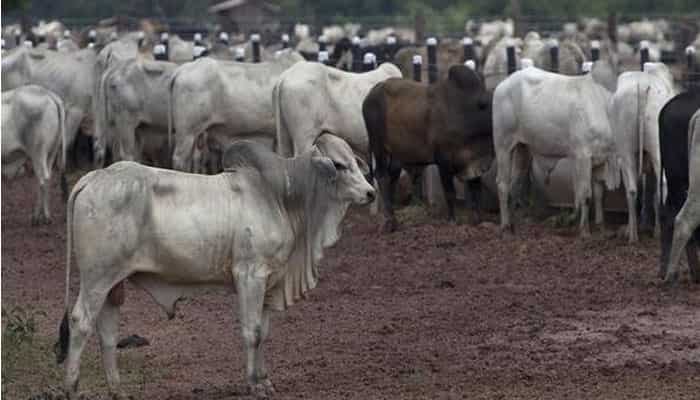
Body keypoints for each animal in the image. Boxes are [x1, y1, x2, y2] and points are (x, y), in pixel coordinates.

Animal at [2, 85, 65, 224]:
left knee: (43, 179)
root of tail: (48, 93)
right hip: (51, 153)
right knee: (45, 179)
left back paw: (40, 217)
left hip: (38, 152)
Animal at [55, 134, 375, 399]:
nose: (371, 192)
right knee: (81, 321)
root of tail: (95, 176)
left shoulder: (269, 280)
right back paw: (71, 387)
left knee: (107, 332)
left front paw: (265, 379)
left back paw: (117, 389)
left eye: (354, 161)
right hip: (97, 278)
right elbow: (252, 331)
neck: (281, 197)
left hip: (114, 283)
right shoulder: (250, 275)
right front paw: (253, 384)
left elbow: (264, 332)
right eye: (339, 165)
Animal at [363, 65, 493, 232]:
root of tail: (371, 94)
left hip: (396, 155)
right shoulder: (444, 161)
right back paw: (390, 220)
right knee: (382, 176)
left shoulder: (475, 162)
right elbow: (450, 193)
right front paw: (452, 220)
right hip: (378, 145)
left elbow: (477, 193)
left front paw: (479, 221)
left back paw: (392, 218)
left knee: (393, 176)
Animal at [493, 65, 620, 238]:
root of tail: (503, 84)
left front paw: (601, 228)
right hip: (503, 146)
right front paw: (585, 231)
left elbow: (600, 195)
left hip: (522, 149)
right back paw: (505, 226)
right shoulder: (583, 156)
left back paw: (514, 225)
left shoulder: (600, 160)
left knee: (515, 184)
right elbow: (585, 194)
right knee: (502, 184)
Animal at [610, 62, 677, 242]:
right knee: (660, 186)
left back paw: (633, 237)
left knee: (632, 190)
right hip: (657, 146)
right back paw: (657, 232)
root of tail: (641, 85)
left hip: (626, 148)